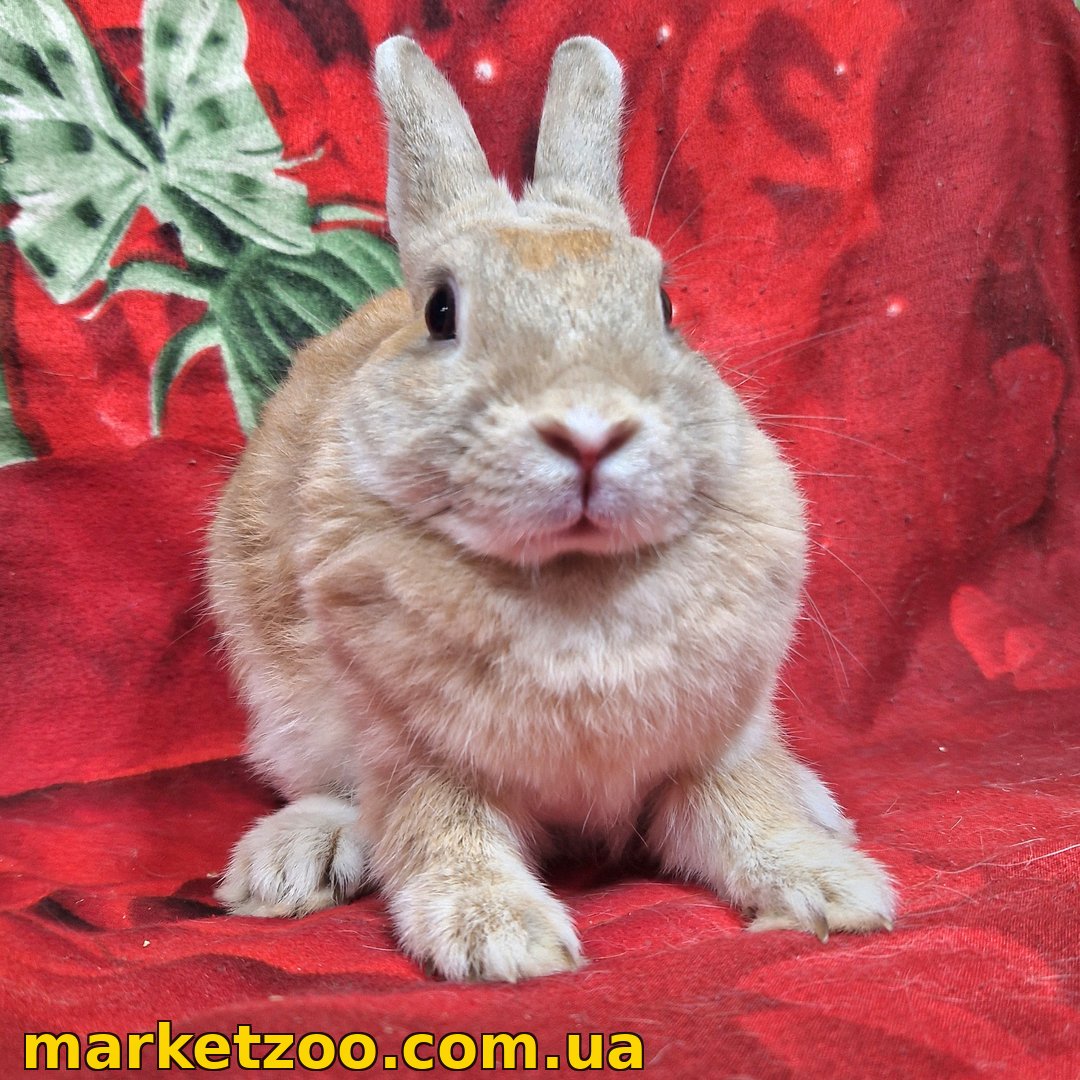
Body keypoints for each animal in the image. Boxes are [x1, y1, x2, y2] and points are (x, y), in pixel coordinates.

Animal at [207, 34, 895, 982]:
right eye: (442, 310)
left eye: (665, 304)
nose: (590, 430)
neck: (577, 576)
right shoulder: (418, 759)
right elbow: (438, 836)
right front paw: (502, 939)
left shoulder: (713, 746)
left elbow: (748, 816)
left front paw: (837, 893)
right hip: (287, 713)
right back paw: (289, 863)